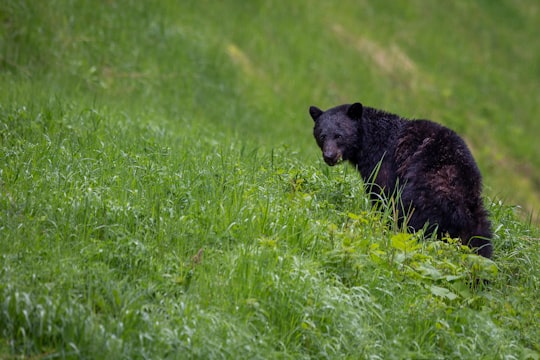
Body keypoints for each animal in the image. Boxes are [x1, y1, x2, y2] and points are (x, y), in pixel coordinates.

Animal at [308, 102, 494, 258]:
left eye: (339, 136)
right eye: (322, 135)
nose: (329, 156)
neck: (368, 141)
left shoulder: (384, 164)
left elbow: (382, 195)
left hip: (422, 194)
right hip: (477, 216)